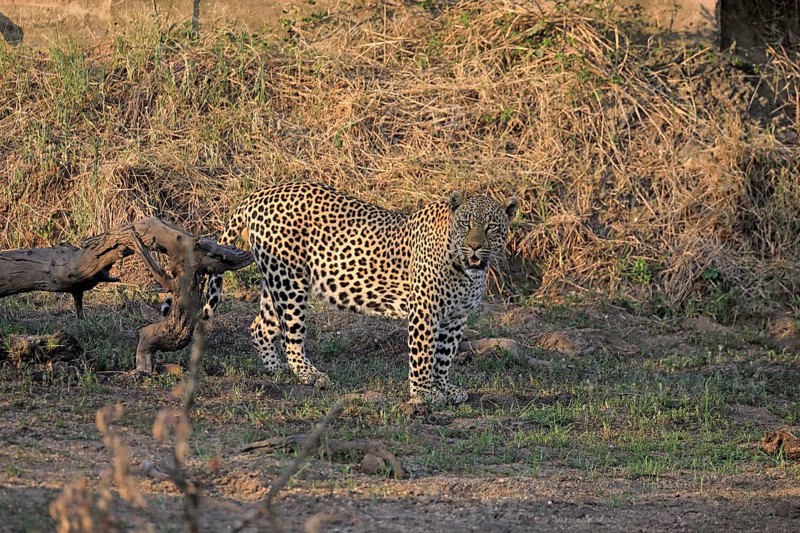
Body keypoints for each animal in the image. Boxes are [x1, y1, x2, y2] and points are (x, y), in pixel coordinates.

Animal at [201, 181, 518, 405]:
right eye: (465, 224)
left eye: (491, 227)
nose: (475, 247)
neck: (466, 270)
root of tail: (260, 193)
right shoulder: (425, 312)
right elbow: (424, 353)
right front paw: (423, 392)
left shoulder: (456, 317)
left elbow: (444, 355)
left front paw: (444, 387)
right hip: (290, 283)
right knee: (291, 335)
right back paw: (309, 374)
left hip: (277, 279)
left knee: (261, 326)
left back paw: (275, 368)